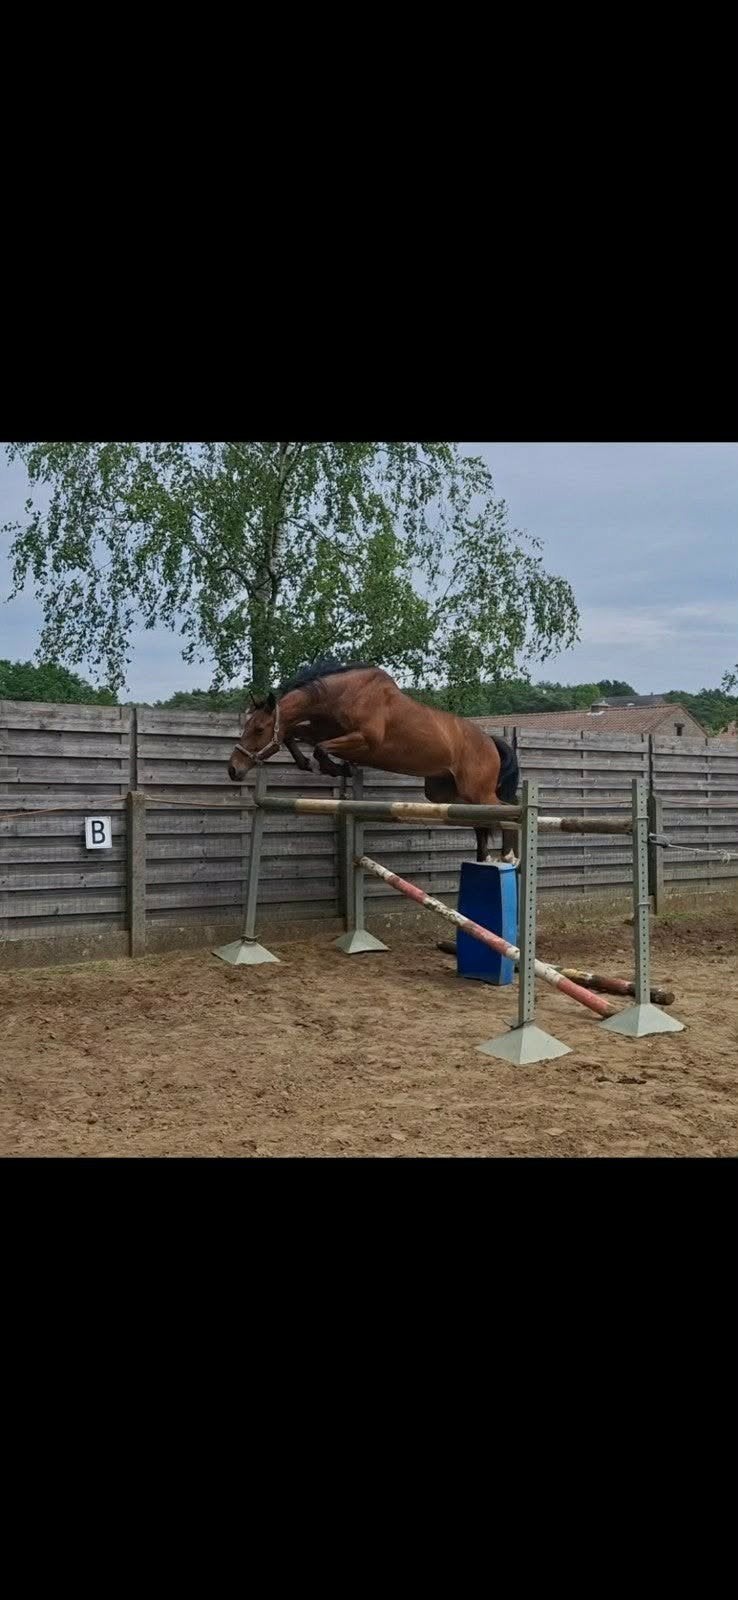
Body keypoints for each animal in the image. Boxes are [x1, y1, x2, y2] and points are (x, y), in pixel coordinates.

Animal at [227, 658, 520, 863]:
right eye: (248, 726)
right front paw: (308, 763)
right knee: (483, 819)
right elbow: (292, 734)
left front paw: (336, 768)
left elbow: (320, 748)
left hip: (476, 791)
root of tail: (489, 740)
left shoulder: (363, 741)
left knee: (507, 809)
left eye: (259, 729)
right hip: (446, 794)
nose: (233, 769)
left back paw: (508, 856)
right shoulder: (322, 730)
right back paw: (484, 858)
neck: (344, 695)